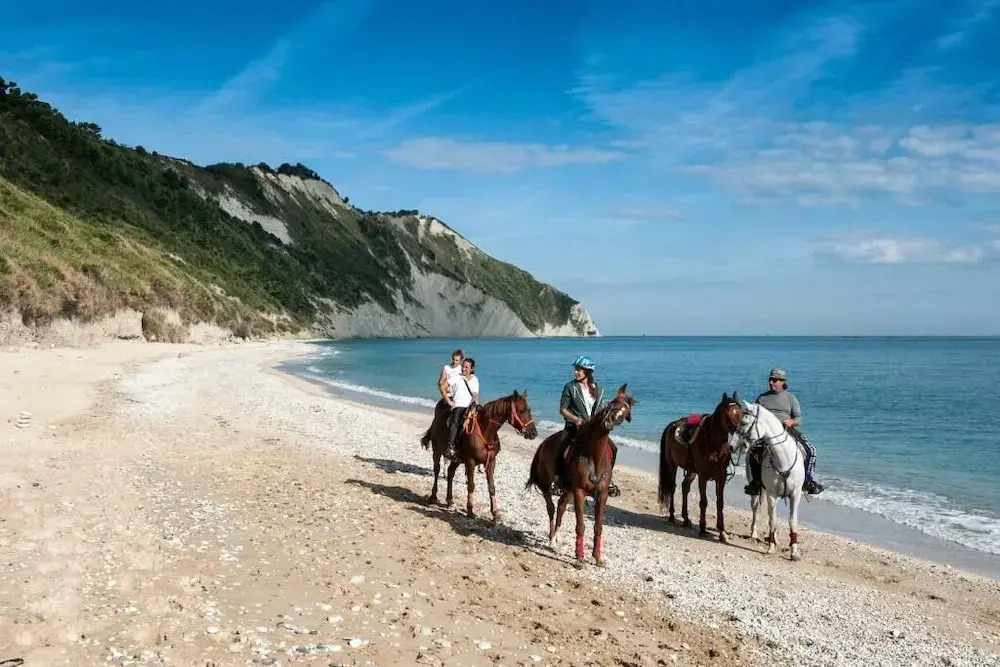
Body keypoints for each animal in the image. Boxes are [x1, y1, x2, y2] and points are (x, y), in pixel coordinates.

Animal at [422, 390, 538, 522]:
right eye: (521, 410)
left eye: (529, 409)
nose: (534, 433)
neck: (485, 431)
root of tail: (437, 416)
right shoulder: (470, 462)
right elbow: (471, 485)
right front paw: (470, 510)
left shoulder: (491, 462)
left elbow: (491, 487)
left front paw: (495, 513)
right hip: (437, 451)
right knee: (437, 470)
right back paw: (433, 496)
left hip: (457, 460)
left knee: (450, 472)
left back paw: (450, 500)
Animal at [525, 384, 636, 569]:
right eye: (613, 403)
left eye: (625, 411)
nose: (609, 421)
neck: (594, 457)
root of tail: (543, 444)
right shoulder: (579, 492)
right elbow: (581, 525)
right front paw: (579, 558)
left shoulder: (602, 495)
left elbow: (598, 526)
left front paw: (597, 558)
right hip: (547, 485)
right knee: (551, 508)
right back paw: (552, 540)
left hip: (568, 490)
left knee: (561, 506)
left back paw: (556, 538)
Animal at [656, 392, 744, 543]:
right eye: (727, 416)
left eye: (741, 414)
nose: (740, 435)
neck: (714, 445)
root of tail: (672, 425)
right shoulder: (703, 476)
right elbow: (703, 502)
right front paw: (703, 529)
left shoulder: (721, 476)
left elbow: (720, 502)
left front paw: (722, 531)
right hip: (672, 465)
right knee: (672, 488)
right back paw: (672, 515)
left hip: (691, 471)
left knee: (685, 487)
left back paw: (686, 519)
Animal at [728, 400, 806, 561]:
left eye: (744, 422)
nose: (731, 446)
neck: (783, 460)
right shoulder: (772, 494)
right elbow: (772, 519)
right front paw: (771, 548)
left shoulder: (795, 494)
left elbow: (792, 521)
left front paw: (794, 552)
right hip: (756, 488)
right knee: (756, 508)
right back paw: (755, 534)